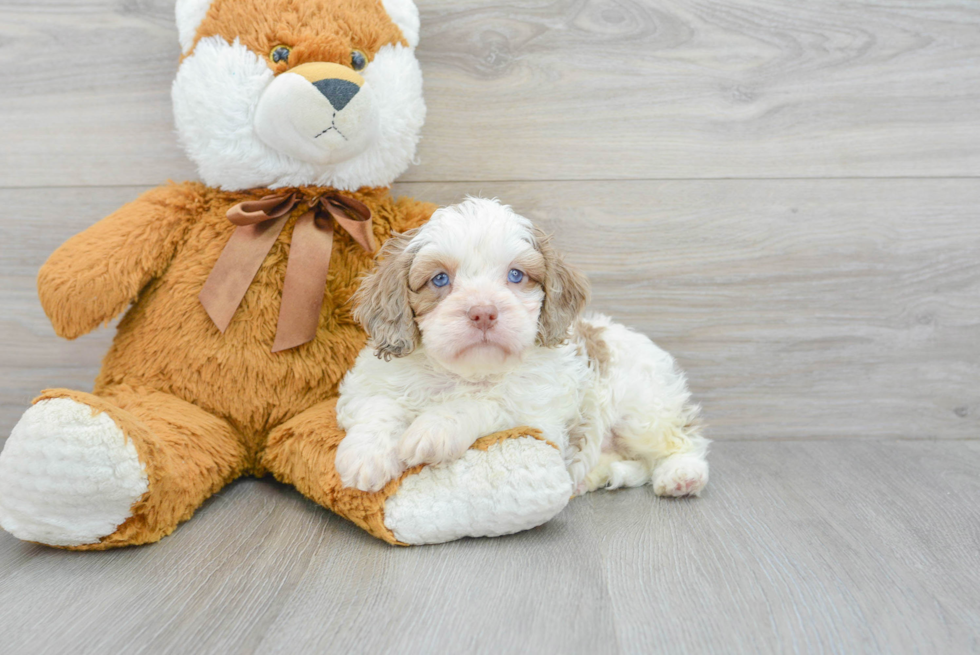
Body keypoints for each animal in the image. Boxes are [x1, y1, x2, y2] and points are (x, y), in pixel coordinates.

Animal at [334, 197, 708, 494]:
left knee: (683, 439)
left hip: (643, 412)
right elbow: (378, 406)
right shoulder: (369, 384)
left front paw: (437, 427)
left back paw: (682, 474)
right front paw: (366, 456)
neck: (465, 374)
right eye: (439, 279)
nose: (483, 312)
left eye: (516, 275)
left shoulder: (537, 418)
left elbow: (487, 402)